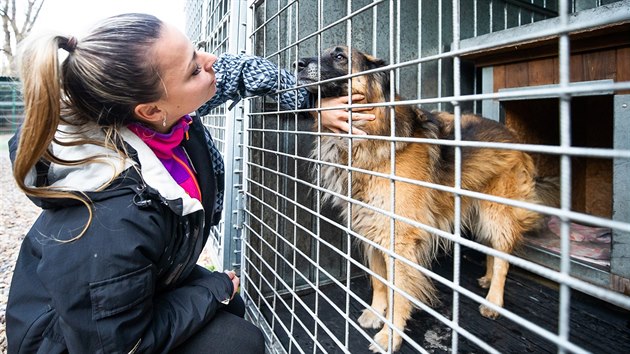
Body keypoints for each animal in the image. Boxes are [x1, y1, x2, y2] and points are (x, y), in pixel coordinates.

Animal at [296, 46, 556, 352]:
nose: (297, 63)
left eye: (340, 57)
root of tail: (513, 135)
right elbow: (379, 281)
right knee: (493, 251)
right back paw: (487, 279)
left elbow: (397, 290)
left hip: (497, 213)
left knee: (503, 256)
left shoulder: (399, 239)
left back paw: (493, 301)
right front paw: (376, 313)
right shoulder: (372, 228)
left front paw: (389, 336)